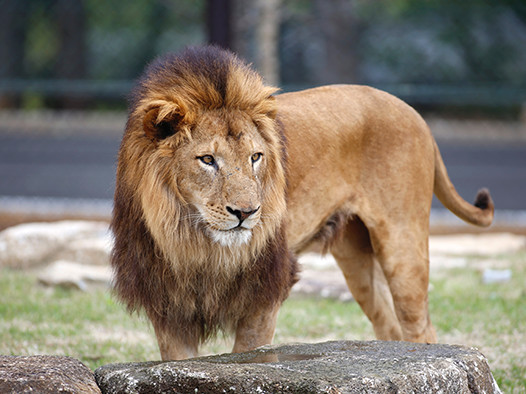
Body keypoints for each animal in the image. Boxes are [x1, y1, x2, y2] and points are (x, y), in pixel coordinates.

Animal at [111, 45, 496, 360]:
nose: (246, 213)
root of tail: (416, 114)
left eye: (255, 157)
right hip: (356, 256)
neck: (196, 242)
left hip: (403, 243)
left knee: (421, 331)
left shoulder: (264, 292)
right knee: (388, 327)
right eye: (207, 160)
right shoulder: (167, 304)